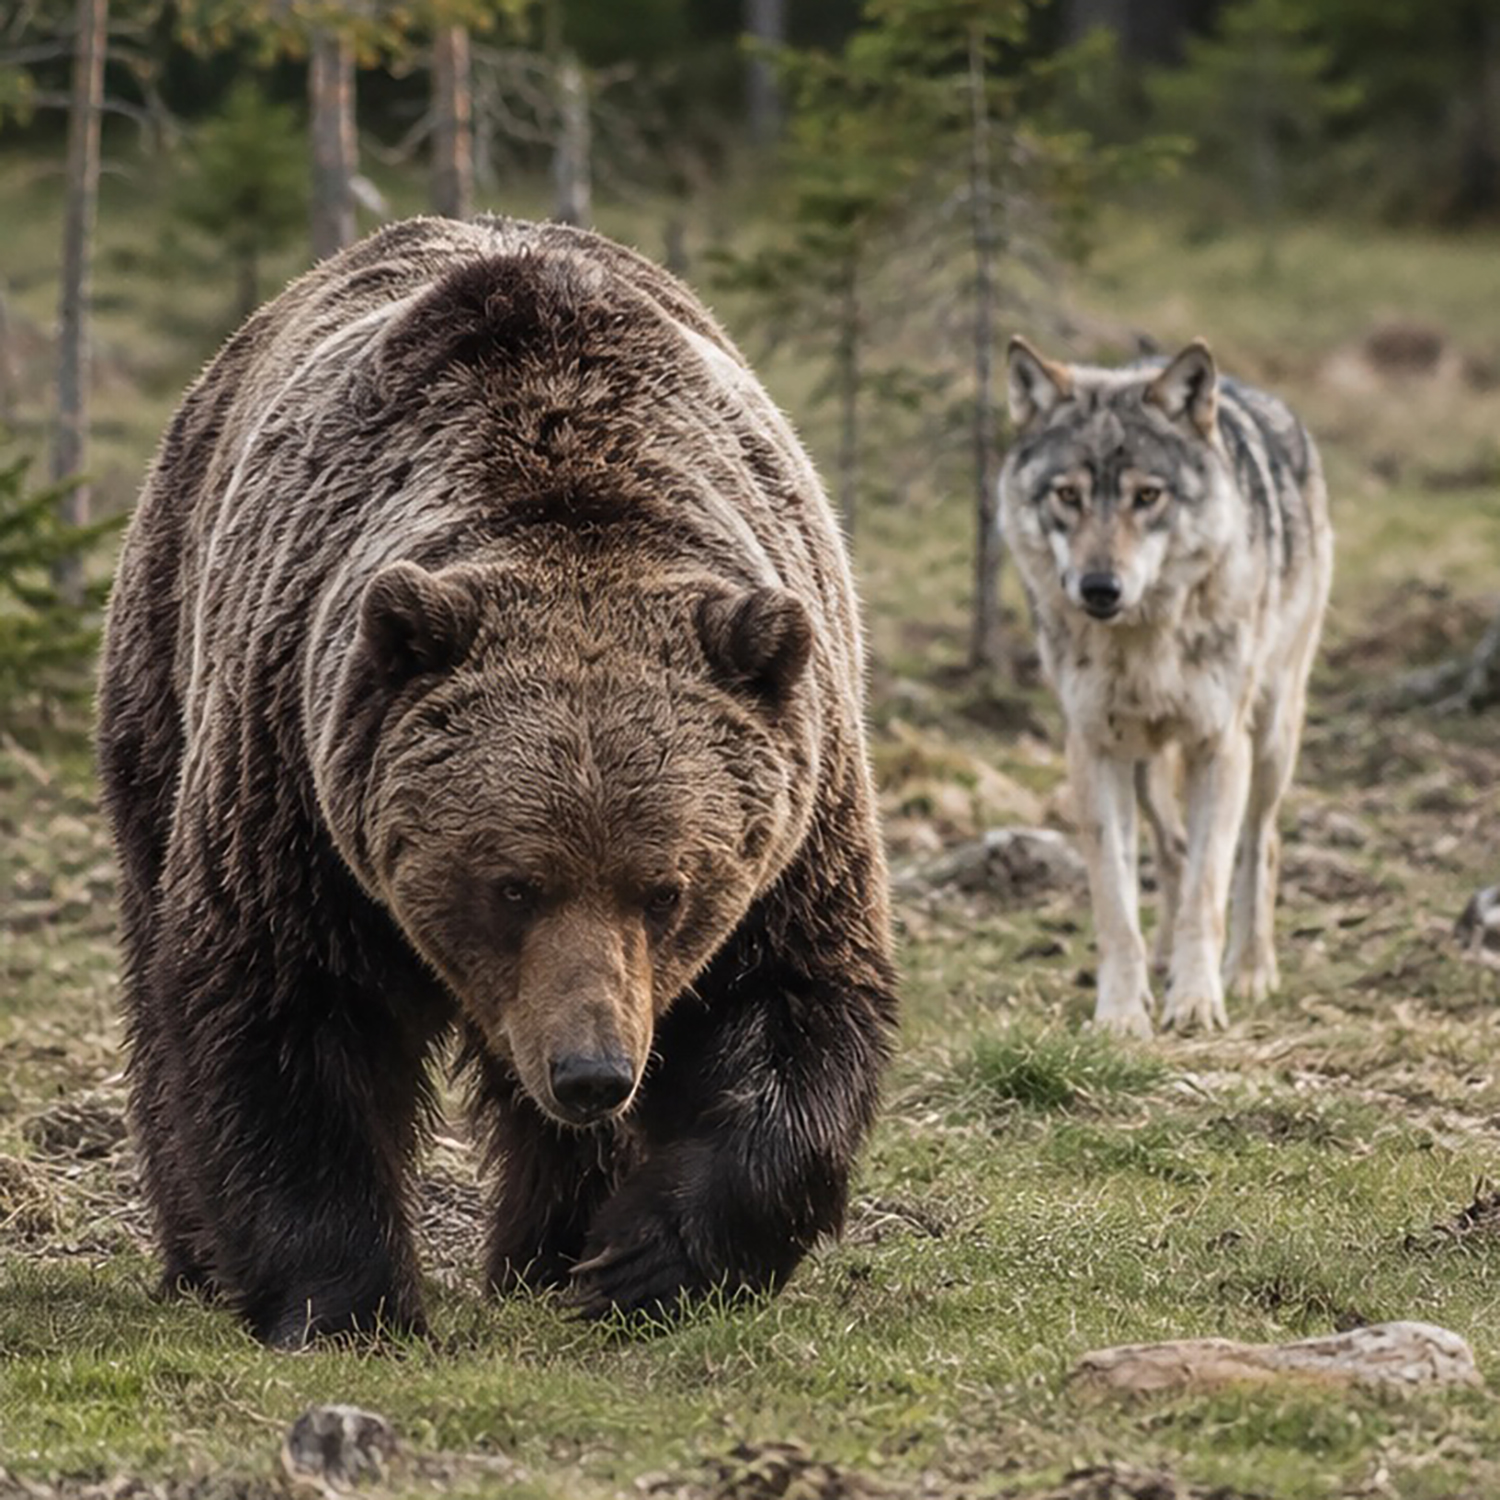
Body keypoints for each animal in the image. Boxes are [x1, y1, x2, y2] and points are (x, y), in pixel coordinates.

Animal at [96, 216, 898, 1347]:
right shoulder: (294, 785)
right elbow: (282, 1013)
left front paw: (642, 1259)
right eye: (512, 884)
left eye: (668, 889)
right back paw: (199, 1256)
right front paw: (346, 1300)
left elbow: (795, 1002)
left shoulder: (798, 802)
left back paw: (552, 1250)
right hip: (166, 669)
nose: (593, 1072)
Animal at [999, 338, 1333, 1036]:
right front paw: (1123, 1013)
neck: (1143, 645)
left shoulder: (1220, 748)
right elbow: (1115, 905)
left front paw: (1199, 1001)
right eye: (1067, 495)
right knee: (1173, 847)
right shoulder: (1093, 751)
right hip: (1147, 769)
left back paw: (1251, 970)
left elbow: (1208, 891)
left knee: (1260, 844)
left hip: (1271, 737)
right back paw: (1164, 960)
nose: (1100, 588)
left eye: (1147, 495)